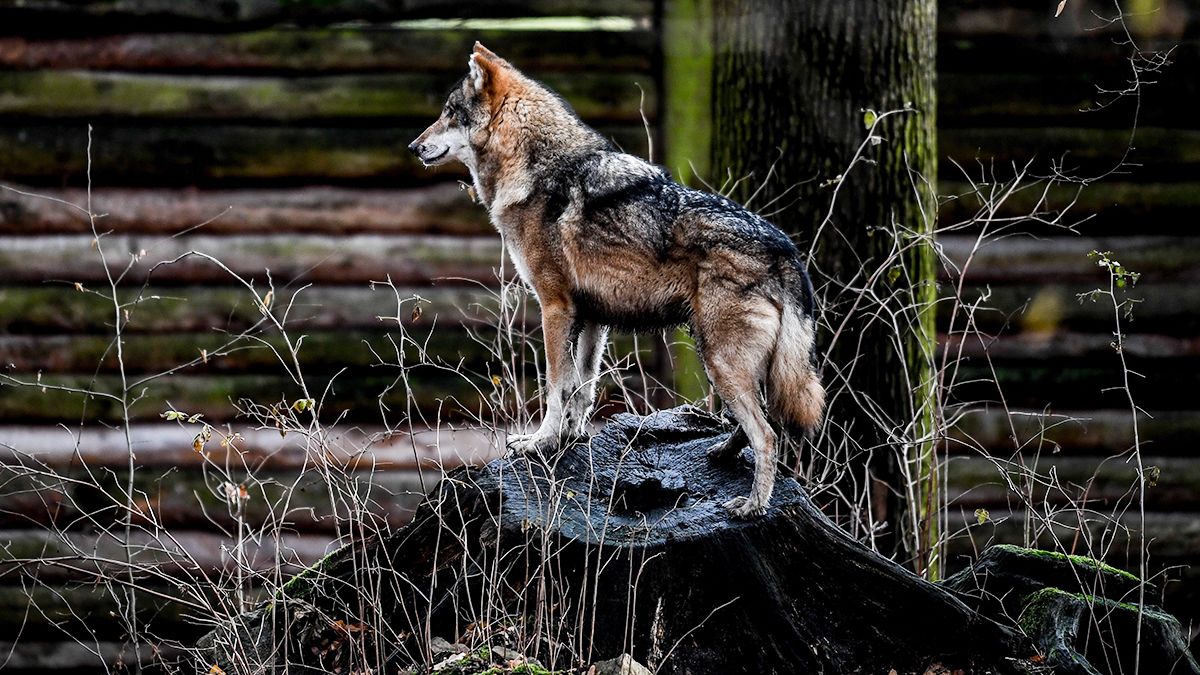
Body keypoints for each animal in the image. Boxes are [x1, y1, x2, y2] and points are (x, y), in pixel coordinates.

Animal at [408, 43, 820, 514]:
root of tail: (785, 249)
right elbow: (581, 388)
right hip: (737, 364)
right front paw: (569, 438)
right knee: (766, 422)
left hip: (720, 360)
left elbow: (555, 387)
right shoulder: (592, 318)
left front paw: (539, 443)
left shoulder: (555, 308)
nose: (413, 146)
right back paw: (722, 454)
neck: (536, 168)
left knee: (768, 434)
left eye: (449, 112)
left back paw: (752, 505)